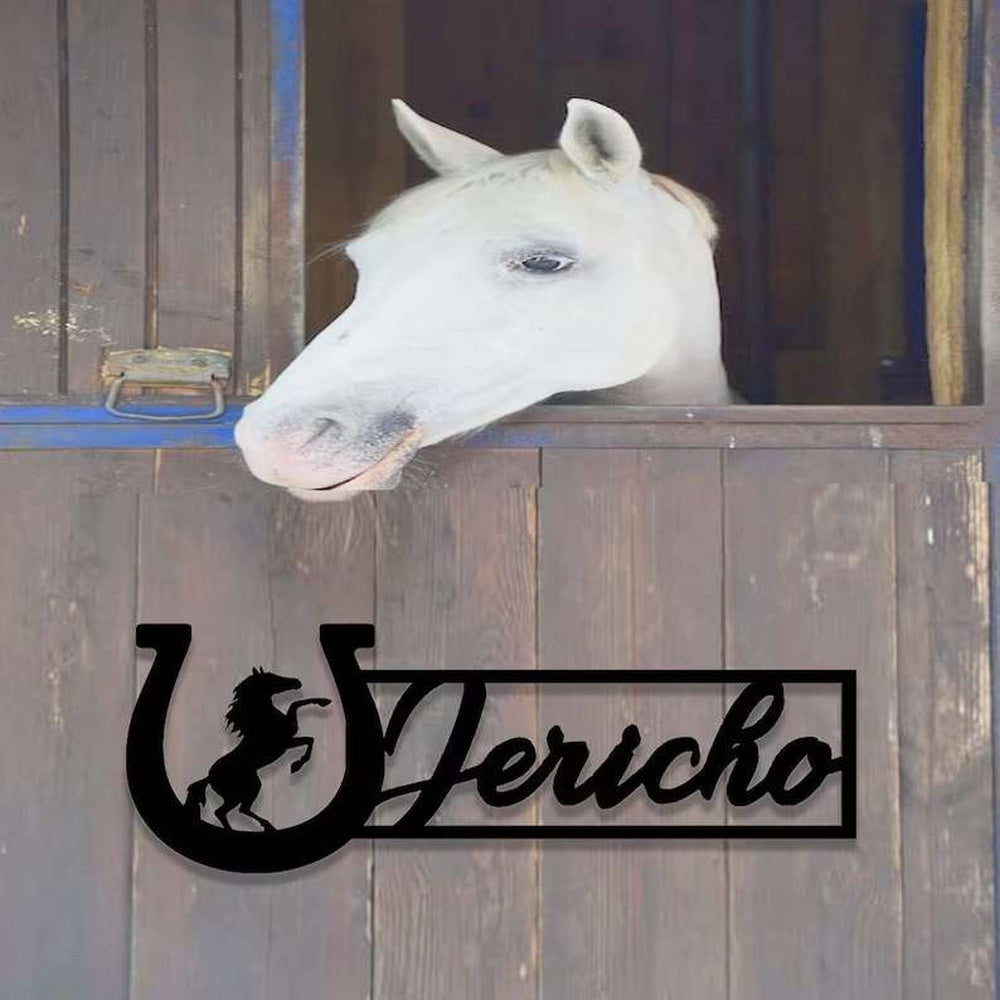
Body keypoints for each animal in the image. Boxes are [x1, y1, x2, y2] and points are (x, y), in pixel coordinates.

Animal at [184, 667, 331, 832]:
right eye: (272, 678)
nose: (297, 682)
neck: (261, 720)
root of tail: (209, 777)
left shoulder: (289, 742)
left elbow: (308, 737)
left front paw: (324, 701)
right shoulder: (286, 741)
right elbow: (296, 704)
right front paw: (296, 766)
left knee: (233, 811)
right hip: (247, 788)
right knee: (229, 810)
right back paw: (263, 826)